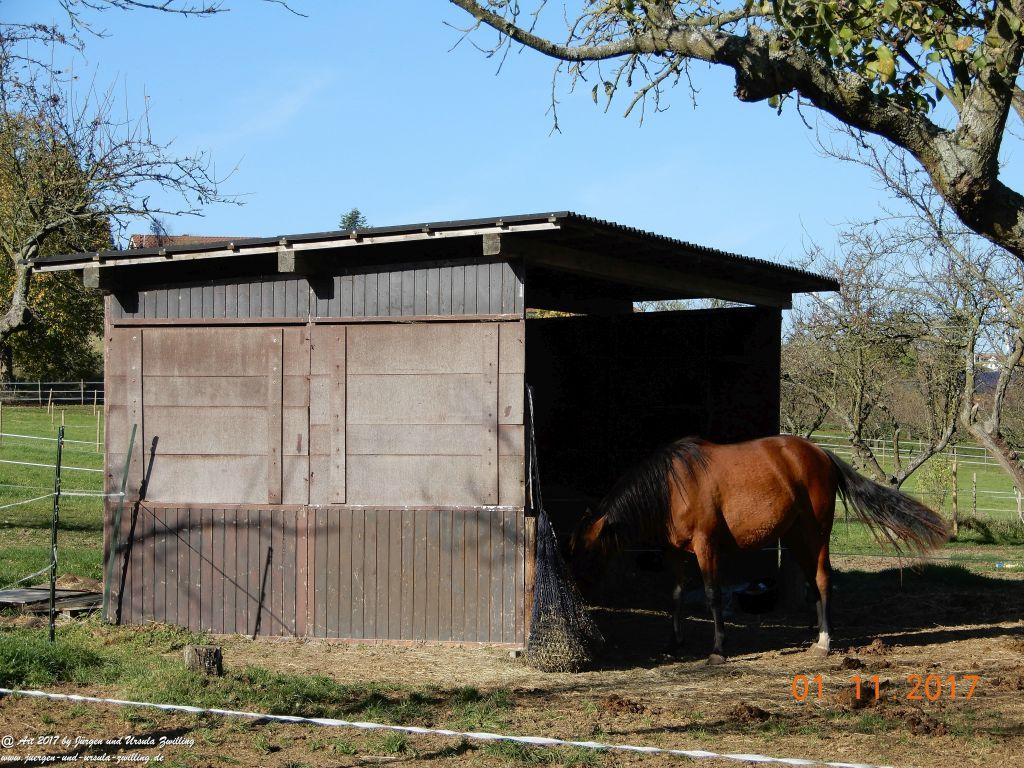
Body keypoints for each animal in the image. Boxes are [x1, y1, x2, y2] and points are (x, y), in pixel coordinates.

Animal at [566, 434, 949, 665]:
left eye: (588, 553)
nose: (578, 590)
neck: (673, 486)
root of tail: (820, 453)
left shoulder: (706, 548)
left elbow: (712, 596)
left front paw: (718, 650)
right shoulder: (674, 553)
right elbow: (675, 595)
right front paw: (674, 642)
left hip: (816, 534)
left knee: (823, 579)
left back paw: (825, 642)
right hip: (794, 537)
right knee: (812, 583)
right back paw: (815, 633)